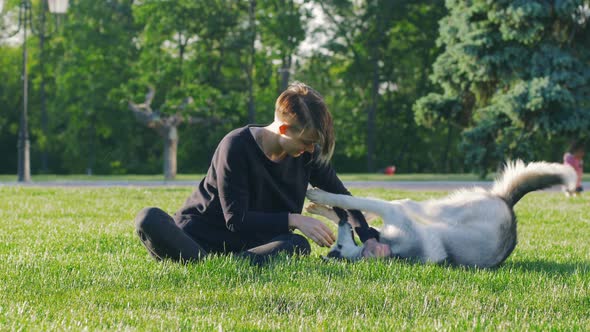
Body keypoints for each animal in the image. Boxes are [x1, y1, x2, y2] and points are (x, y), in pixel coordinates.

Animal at [308, 160, 576, 268]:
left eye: (337, 248)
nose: (341, 227)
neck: (393, 250)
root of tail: (508, 204)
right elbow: (356, 212)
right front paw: (324, 209)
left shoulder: (393, 209)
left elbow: (350, 201)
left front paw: (321, 199)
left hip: (433, 207)